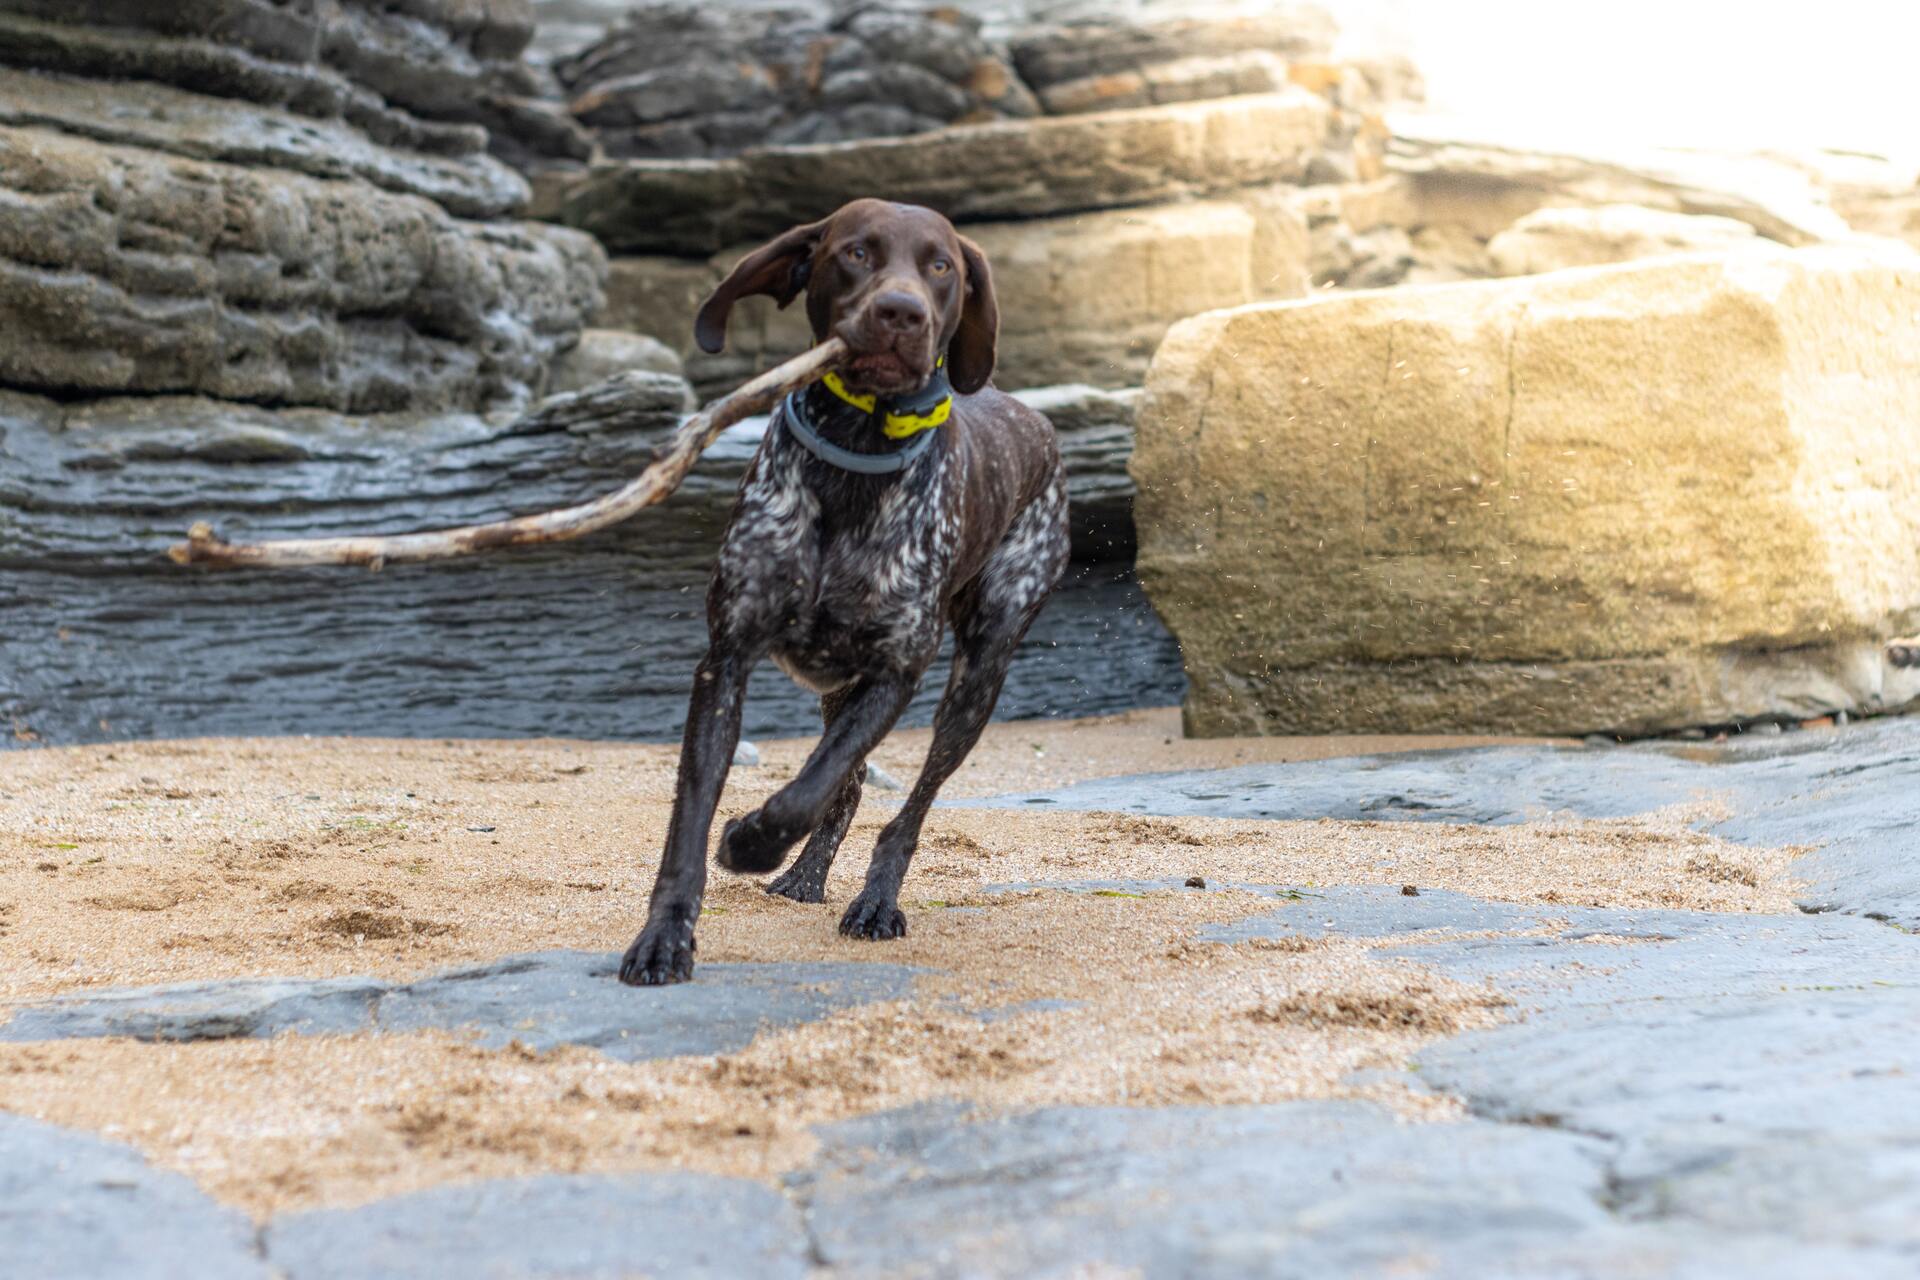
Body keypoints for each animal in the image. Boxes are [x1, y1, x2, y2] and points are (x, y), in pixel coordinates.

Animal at [618, 197, 1067, 990]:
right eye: (856, 252)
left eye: (941, 266)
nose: (900, 313)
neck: (858, 458)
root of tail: (1032, 416)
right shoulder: (725, 662)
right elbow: (692, 824)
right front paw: (665, 937)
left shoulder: (894, 674)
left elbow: (809, 785)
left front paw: (751, 840)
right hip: (842, 685)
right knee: (852, 788)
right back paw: (806, 878)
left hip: (977, 675)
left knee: (907, 807)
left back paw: (876, 901)